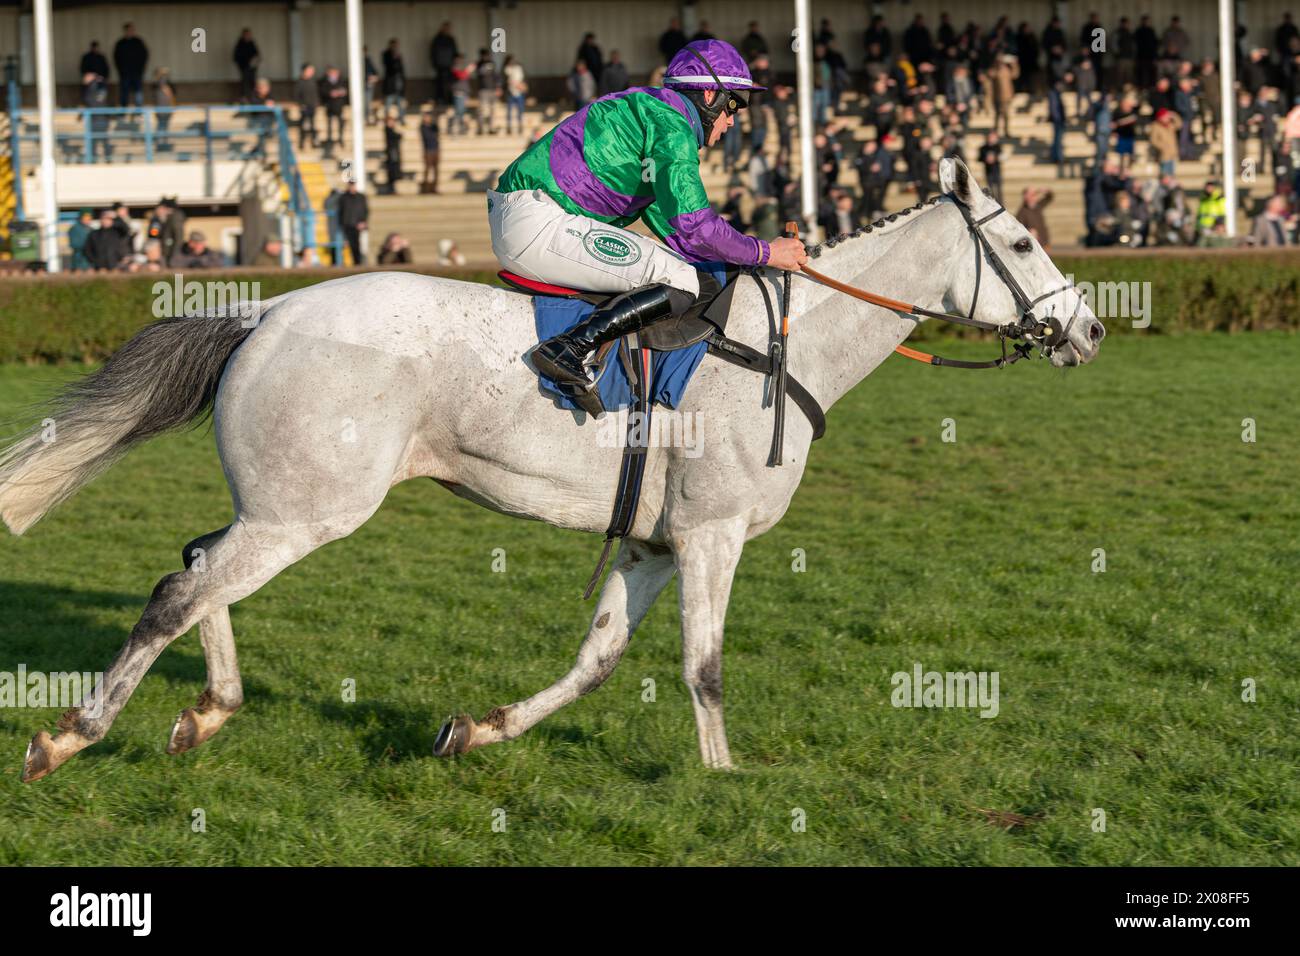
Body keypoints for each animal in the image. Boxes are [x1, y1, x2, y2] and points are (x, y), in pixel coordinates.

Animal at [0, 160, 1102, 780]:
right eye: (1017, 241)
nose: (1087, 328)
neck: (784, 351)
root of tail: (264, 308)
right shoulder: (710, 533)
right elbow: (703, 665)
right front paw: (725, 780)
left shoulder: (653, 543)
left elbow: (597, 662)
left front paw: (474, 730)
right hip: (309, 511)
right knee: (178, 590)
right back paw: (71, 735)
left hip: (282, 503)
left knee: (197, 569)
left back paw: (206, 712)